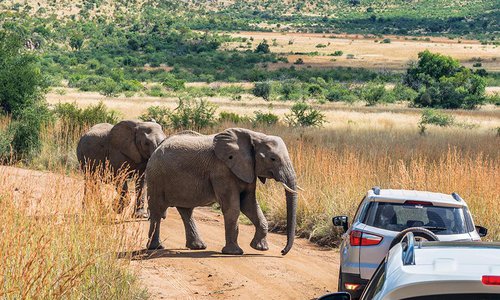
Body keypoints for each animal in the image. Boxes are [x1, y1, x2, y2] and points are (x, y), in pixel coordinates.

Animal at [146, 127, 298, 255]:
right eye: (273, 158)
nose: (282, 251)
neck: (255, 136)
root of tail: (157, 147)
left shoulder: (248, 170)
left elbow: (249, 205)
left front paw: (260, 248)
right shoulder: (222, 171)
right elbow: (233, 208)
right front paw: (234, 252)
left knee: (186, 211)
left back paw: (198, 246)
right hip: (156, 178)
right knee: (157, 210)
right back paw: (156, 247)